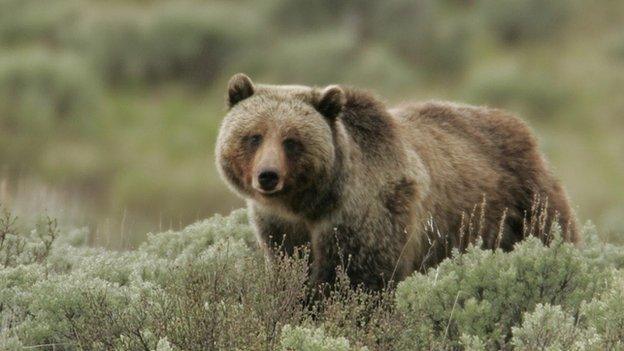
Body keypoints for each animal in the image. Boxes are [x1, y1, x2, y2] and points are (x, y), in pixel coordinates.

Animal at [217, 73, 576, 292]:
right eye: (254, 136)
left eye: (292, 141)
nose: (268, 176)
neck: (312, 202)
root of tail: (523, 127)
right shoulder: (282, 227)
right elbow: (293, 269)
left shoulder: (368, 214)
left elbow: (359, 278)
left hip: (523, 204)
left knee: (550, 232)